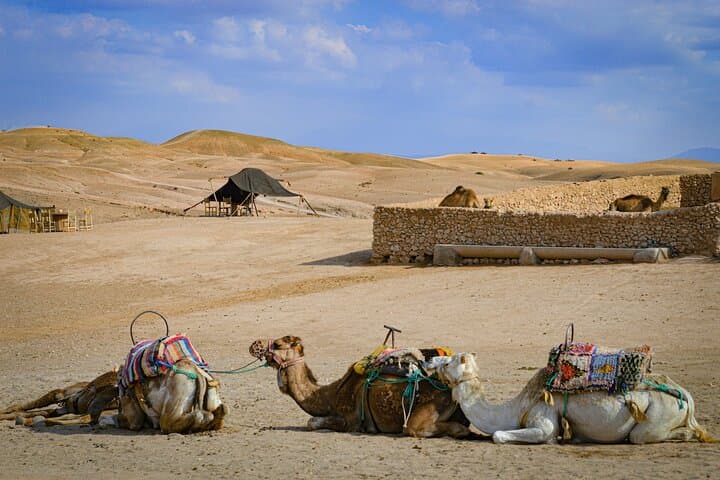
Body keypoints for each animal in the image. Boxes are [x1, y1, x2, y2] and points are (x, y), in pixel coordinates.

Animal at [250, 336, 470, 438]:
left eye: (278, 344)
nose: (254, 345)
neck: (330, 396)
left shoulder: (351, 420)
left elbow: (312, 422)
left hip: (427, 410)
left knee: (416, 428)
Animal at [425, 353, 716, 444]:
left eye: (449, 361)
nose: (429, 360)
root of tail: (686, 396)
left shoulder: (544, 418)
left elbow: (498, 435)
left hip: (658, 413)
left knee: (642, 436)